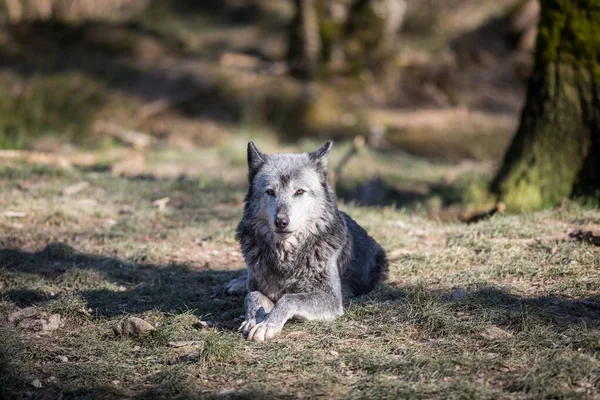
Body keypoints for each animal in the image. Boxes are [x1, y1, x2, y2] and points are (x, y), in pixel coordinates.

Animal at [230, 140, 390, 340]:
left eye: (299, 191)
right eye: (270, 192)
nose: (281, 221)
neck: (286, 257)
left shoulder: (331, 298)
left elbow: (288, 299)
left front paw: (267, 324)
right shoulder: (258, 287)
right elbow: (252, 296)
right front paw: (252, 320)